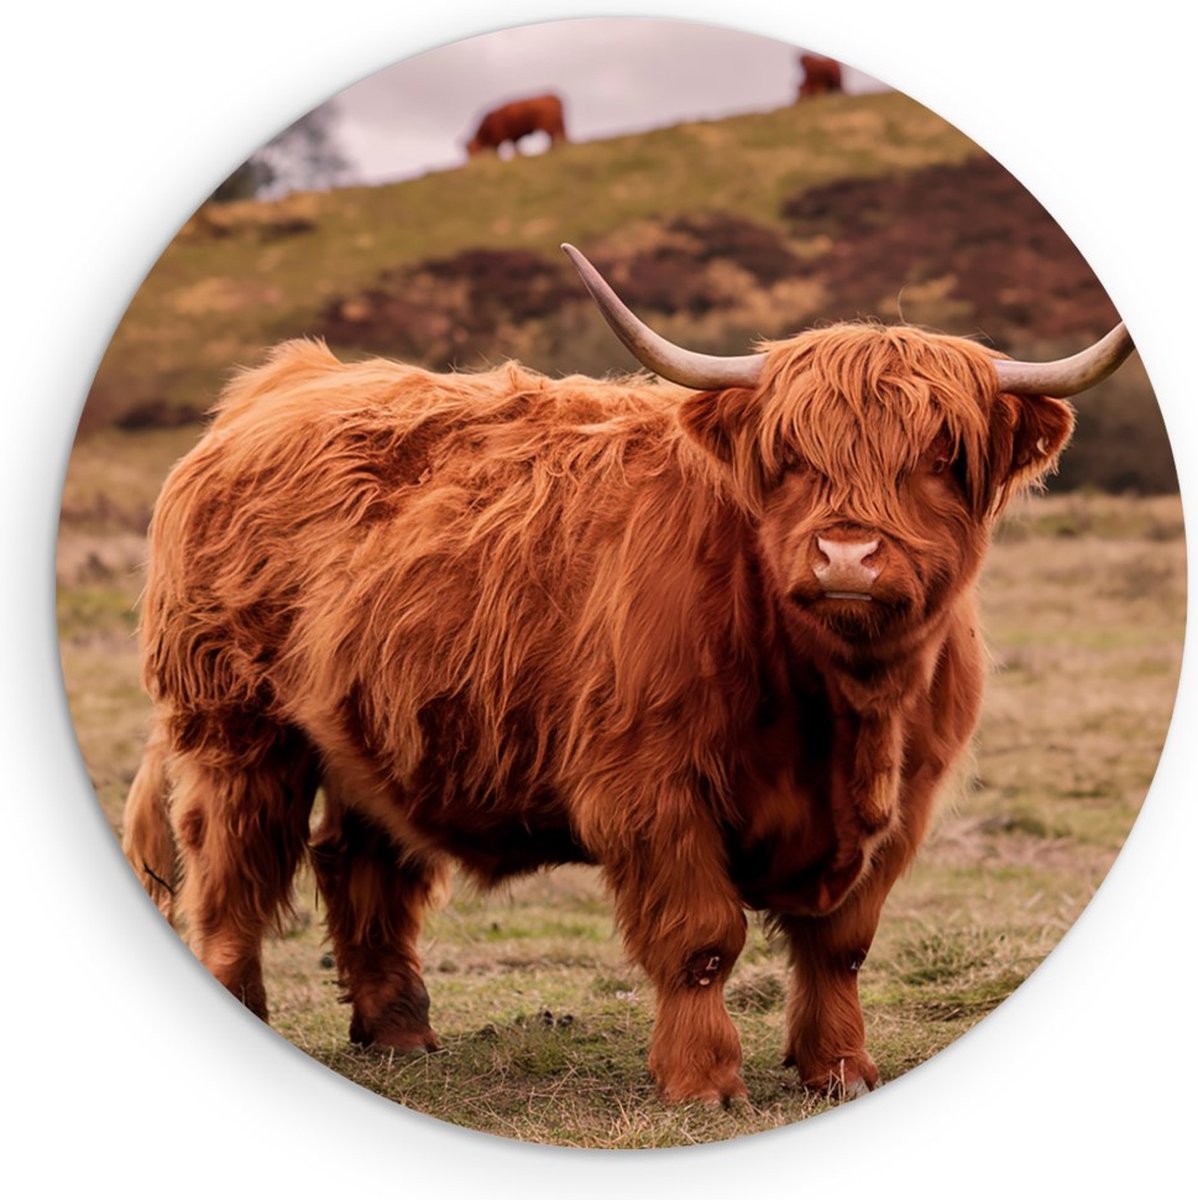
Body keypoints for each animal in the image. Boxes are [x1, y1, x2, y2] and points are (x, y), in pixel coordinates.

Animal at [121, 242, 1134, 1104]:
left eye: (941, 456)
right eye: (790, 457)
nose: (848, 555)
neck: (846, 704)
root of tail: (283, 381)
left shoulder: (905, 805)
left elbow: (840, 946)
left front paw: (840, 1069)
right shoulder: (652, 788)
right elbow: (701, 940)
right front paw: (703, 1084)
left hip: (376, 726)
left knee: (361, 863)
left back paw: (402, 1031)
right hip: (233, 726)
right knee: (228, 870)